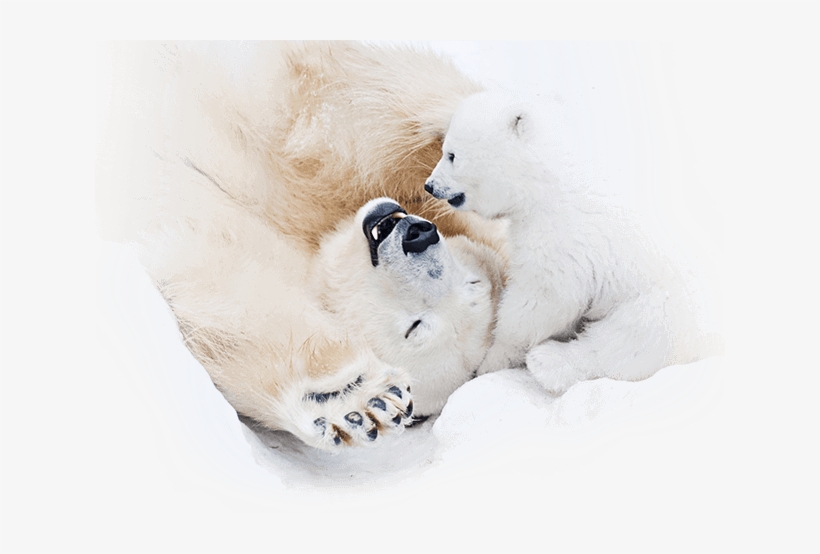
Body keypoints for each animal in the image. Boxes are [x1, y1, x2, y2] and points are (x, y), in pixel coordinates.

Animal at [97, 41, 507, 450]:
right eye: (473, 280)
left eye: (416, 326)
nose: (417, 236)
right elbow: (344, 102)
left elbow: (229, 301)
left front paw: (353, 399)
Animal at [425, 90, 722, 394]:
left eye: (451, 155)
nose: (430, 185)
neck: (551, 173)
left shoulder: (562, 232)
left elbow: (542, 299)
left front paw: (492, 359)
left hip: (671, 302)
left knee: (632, 340)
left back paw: (548, 362)